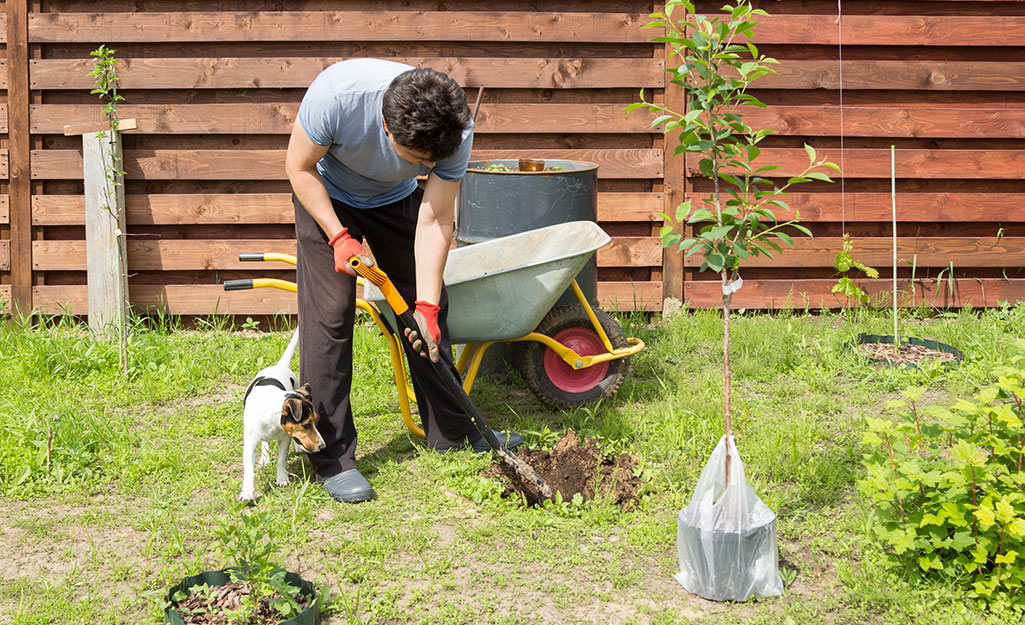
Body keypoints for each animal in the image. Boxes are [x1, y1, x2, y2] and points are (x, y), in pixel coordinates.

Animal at [238, 327, 323, 497]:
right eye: (306, 425)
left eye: (315, 422)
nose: (322, 446)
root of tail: (279, 366)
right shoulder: (250, 444)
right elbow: (249, 470)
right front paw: (248, 492)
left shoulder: (285, 438)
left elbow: (281, 460)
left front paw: (282, 478)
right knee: (265, 443)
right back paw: (264, 458)